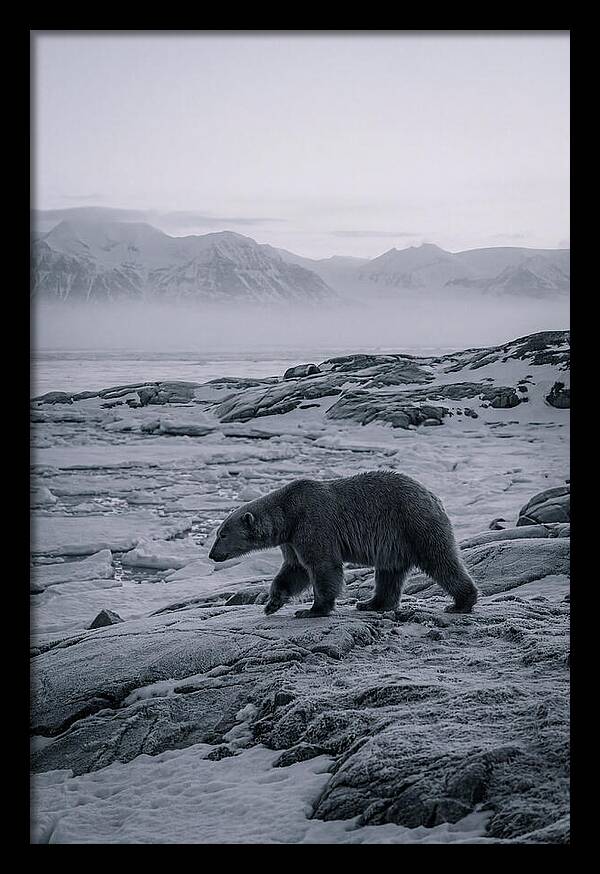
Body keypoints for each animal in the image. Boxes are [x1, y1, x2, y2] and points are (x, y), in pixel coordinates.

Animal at [208, 470, 478, 619]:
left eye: (222, 534)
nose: (212, 555)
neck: (288, 513)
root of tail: (433, 496)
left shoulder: (313, 522)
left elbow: (322, 565)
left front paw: (312, 609)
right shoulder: (292, 539)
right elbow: (294, 569)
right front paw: (272, 603)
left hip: (414, 523)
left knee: (440, 559)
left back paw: (461, 602)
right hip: (395, 542)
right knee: (389, 573)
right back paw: (371, 603)